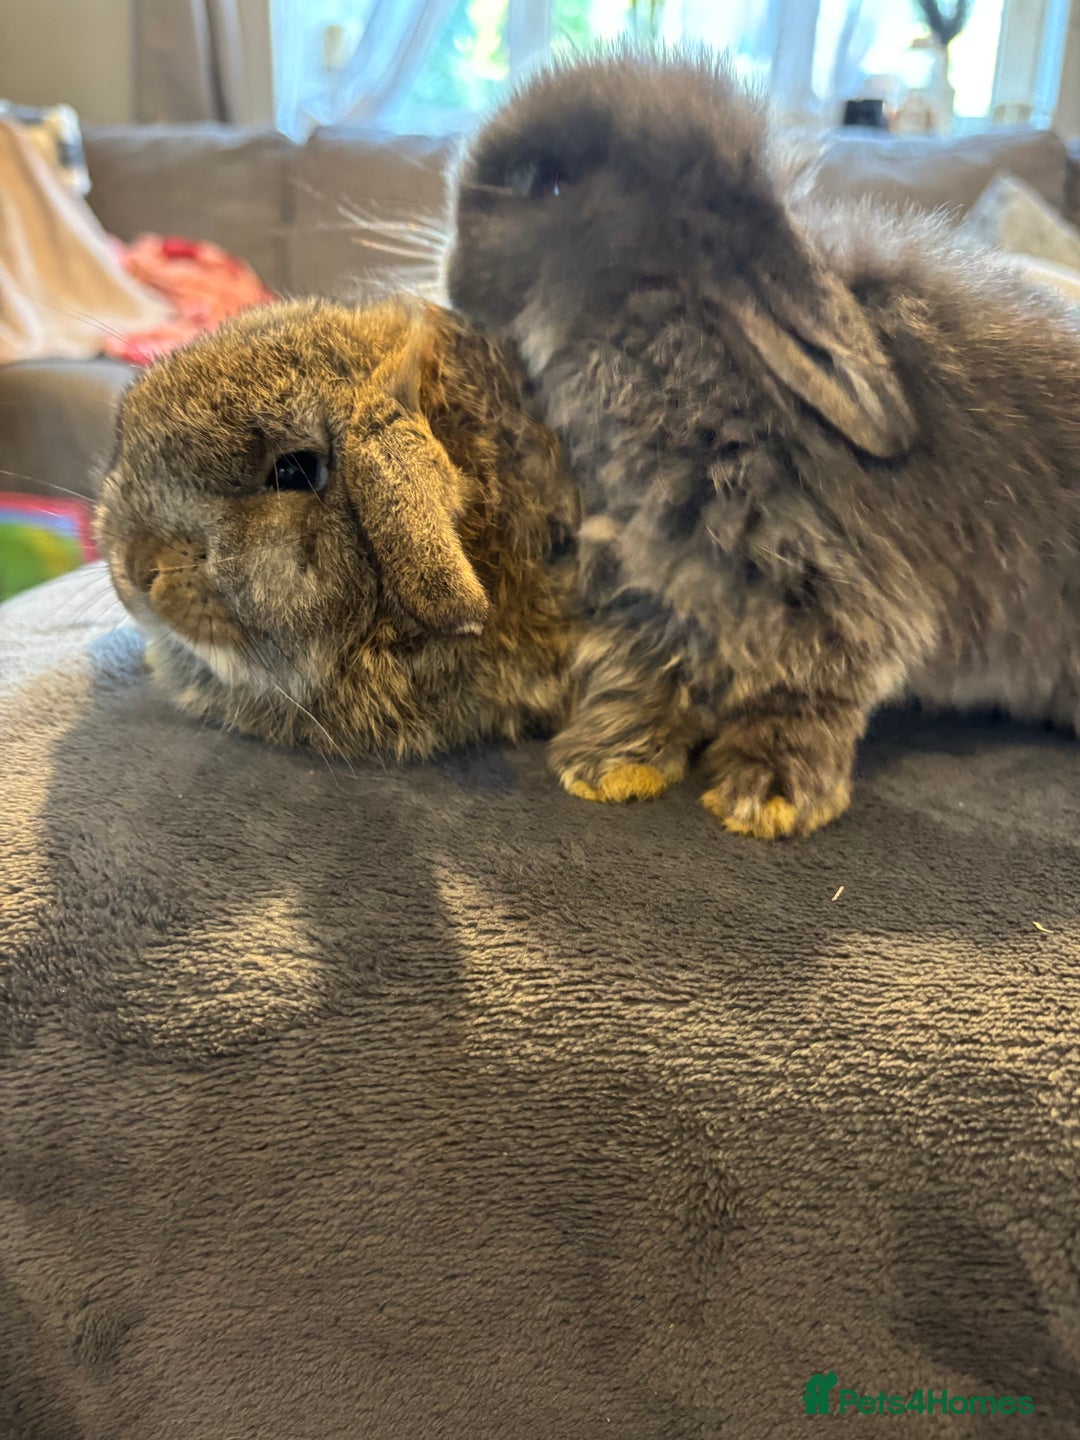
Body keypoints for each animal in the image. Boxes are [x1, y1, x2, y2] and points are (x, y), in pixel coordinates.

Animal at [447, 49, 1080, 839]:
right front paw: (608, 763)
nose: (449, 284)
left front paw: (768, 792)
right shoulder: (650, 573)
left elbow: (803, 690)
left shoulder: (834, 592)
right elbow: (642, 669)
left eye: (547, 181)